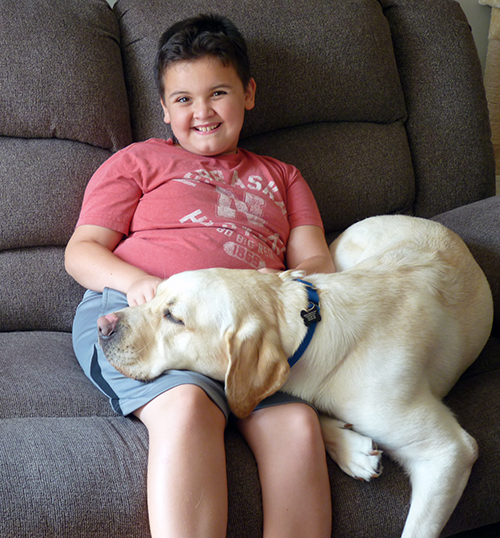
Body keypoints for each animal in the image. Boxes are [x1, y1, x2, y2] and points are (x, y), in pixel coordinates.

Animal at [96, 215, 492, 536]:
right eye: (155, 294)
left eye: (174, 317)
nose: (103, 325)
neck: (307, 324)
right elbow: (309, 407)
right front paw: (351, 448)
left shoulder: (449, 454)